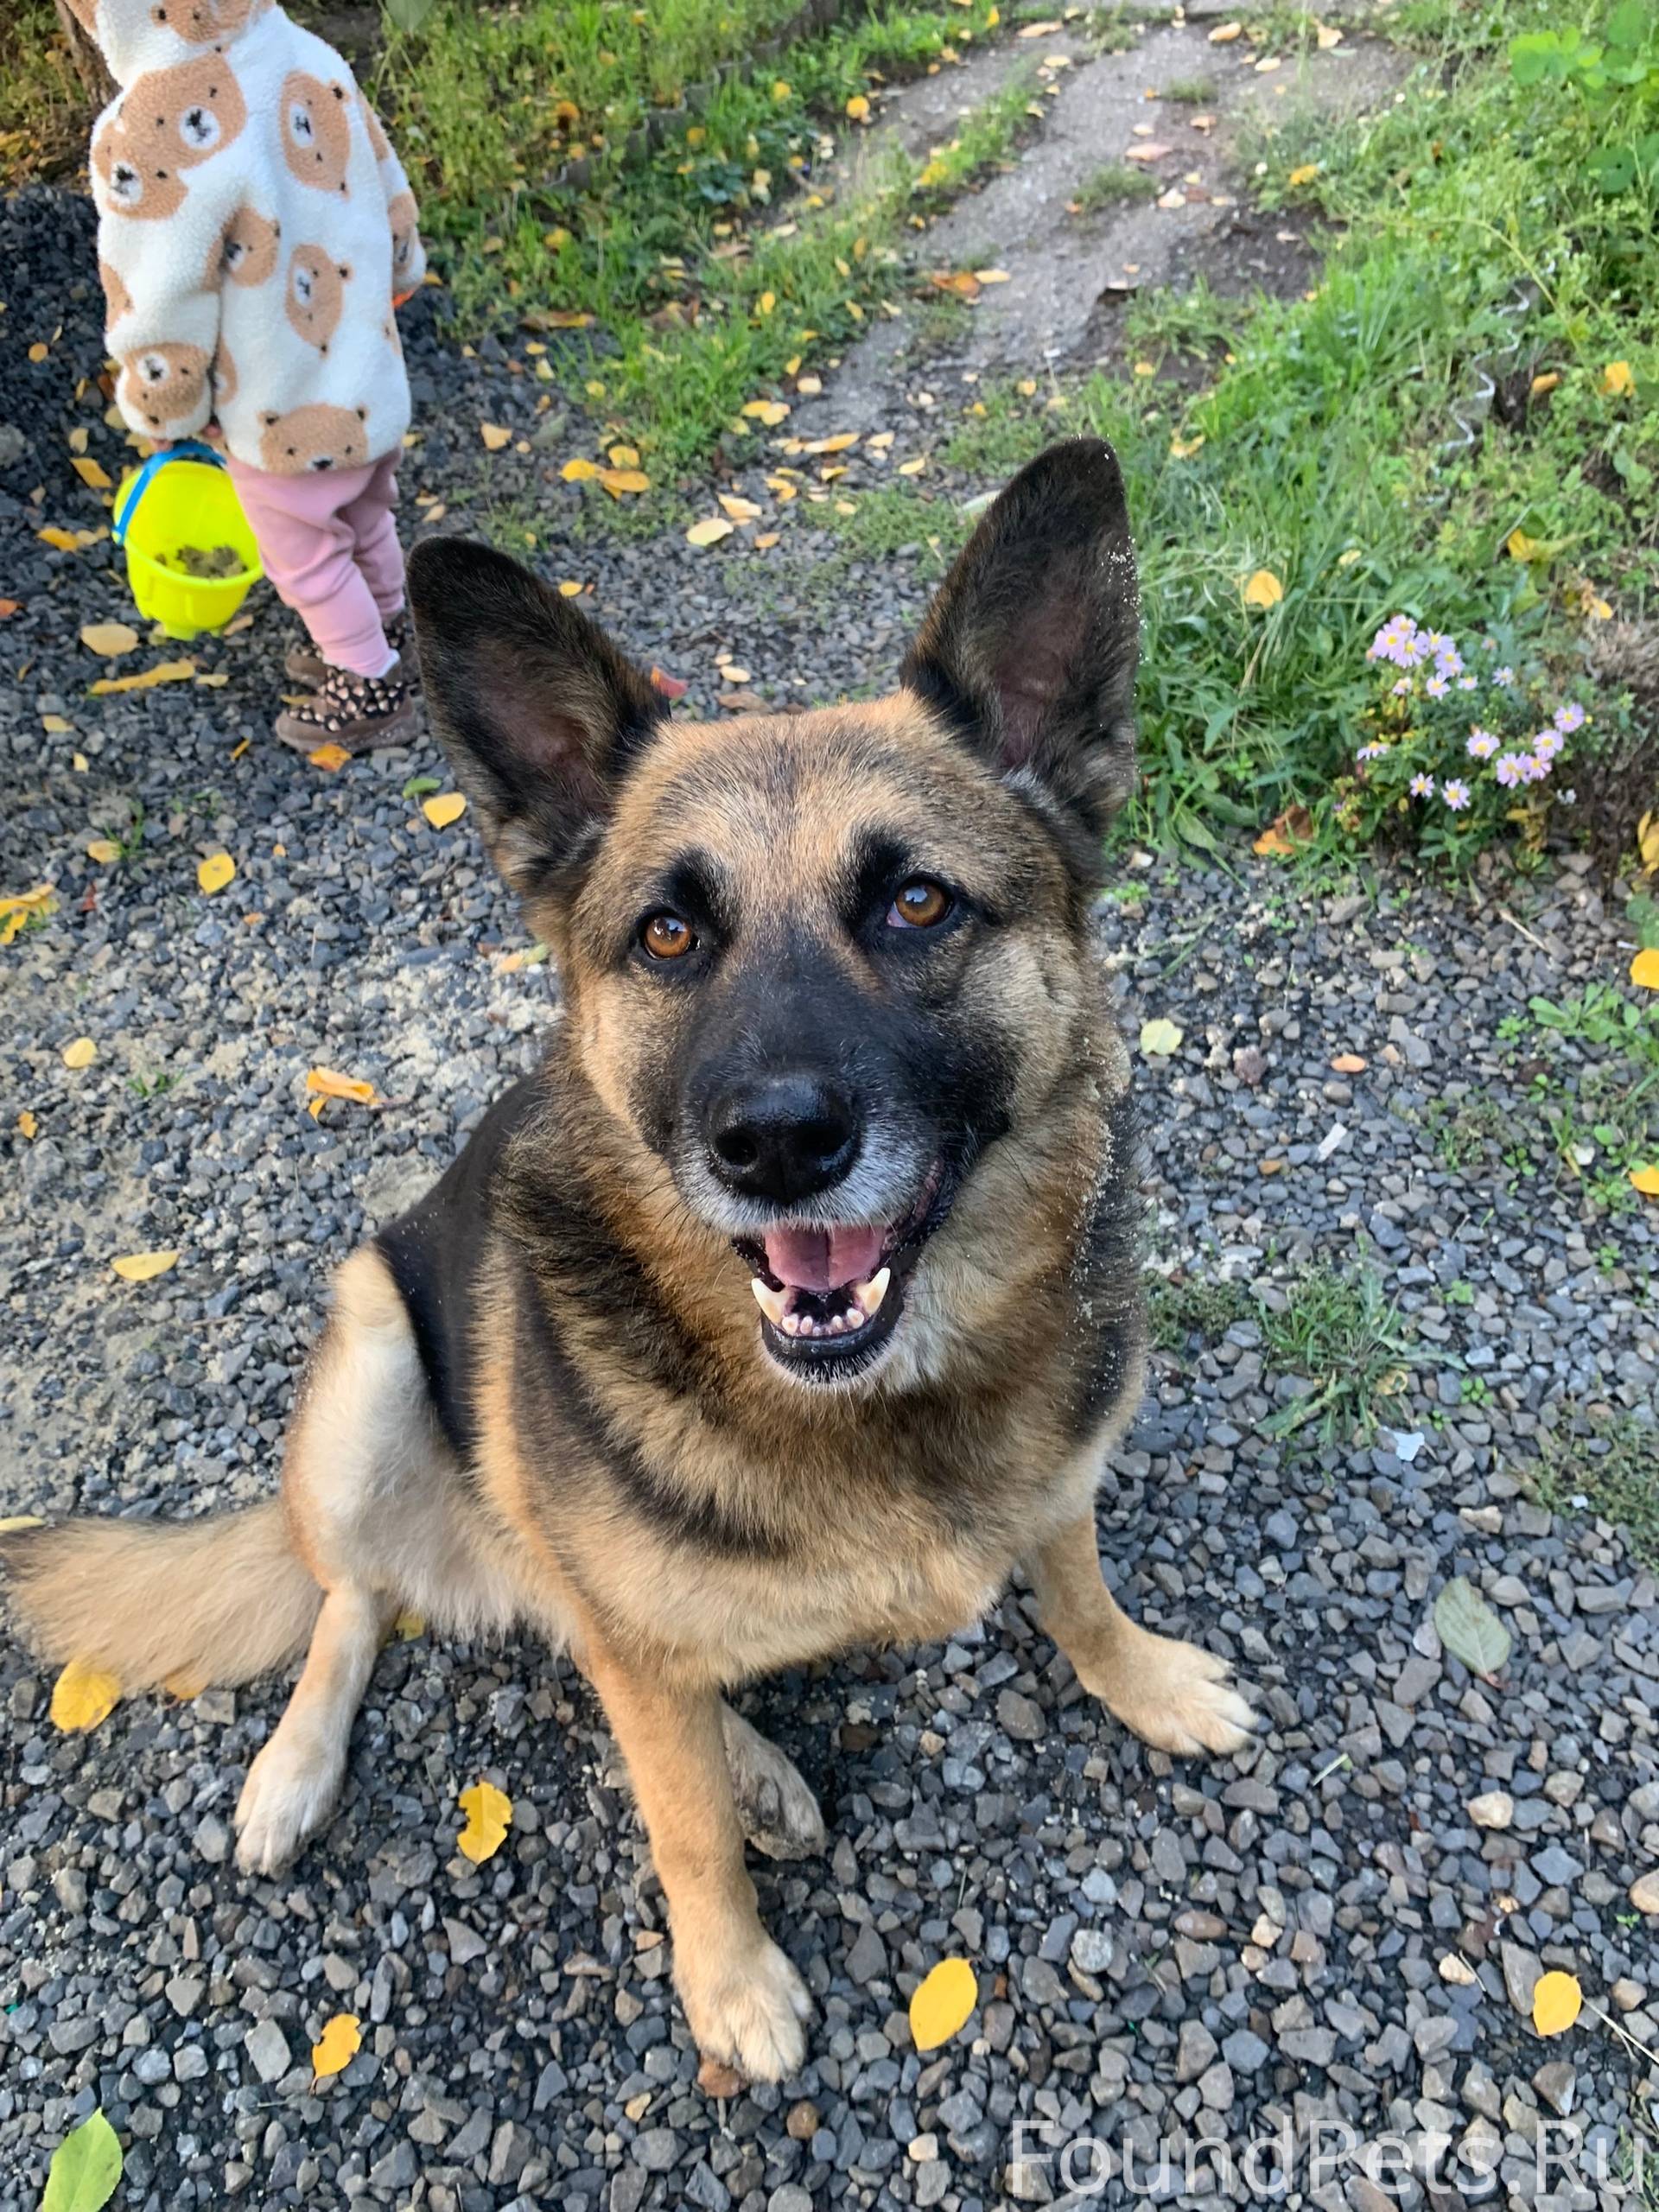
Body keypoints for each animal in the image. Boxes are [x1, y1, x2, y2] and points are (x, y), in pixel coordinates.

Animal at [1, 440, 1253, 2082]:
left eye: (917, 902)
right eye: (667, 934)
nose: (773, 1144)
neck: (879, 1408)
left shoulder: (1055, 1483)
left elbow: (1081, 1586)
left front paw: (1147, 1680)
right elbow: (680, 1828)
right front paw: (730, 1983)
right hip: (372, 1342)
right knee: (366, 1600)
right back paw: (301, 1769)